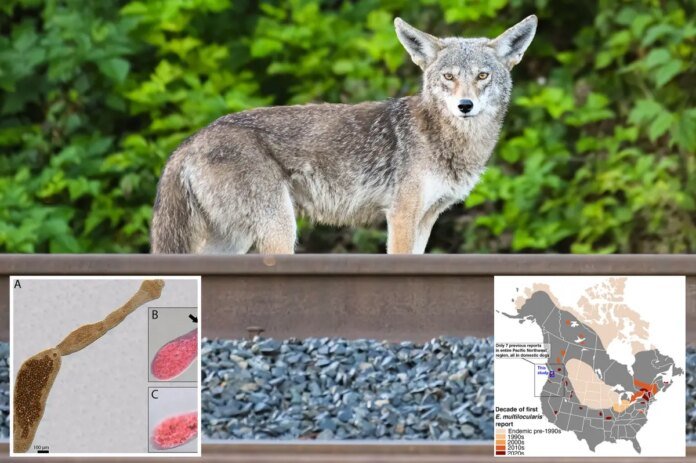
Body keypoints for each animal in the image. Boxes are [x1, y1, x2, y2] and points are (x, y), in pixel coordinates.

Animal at [151, 15, 537, 254]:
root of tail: (191, 141)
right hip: (279, 229)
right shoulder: (400, 215)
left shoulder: (427, 218)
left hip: (239, 237)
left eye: (483, 76)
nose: (465, 105)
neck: (445, 140)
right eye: (449, 77)